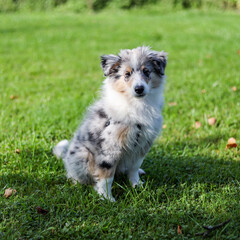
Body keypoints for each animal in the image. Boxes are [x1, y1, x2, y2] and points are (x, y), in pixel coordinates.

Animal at [53, 46, 168, 202]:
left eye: (146, 71)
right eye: (127, 74)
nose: (139, 89)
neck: (136, 104)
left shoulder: (143, 143)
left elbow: (134, 167)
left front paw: (137, 185)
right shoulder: (109, 147)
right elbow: (106, 176)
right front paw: (107, 198)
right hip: (83, 156)